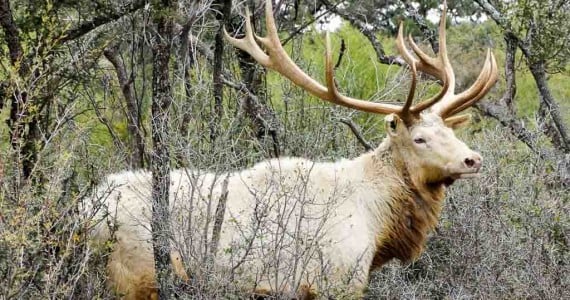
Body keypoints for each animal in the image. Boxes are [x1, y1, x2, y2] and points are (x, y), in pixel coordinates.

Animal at [90, 1, 496, 298]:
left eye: (449, 130)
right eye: (419, 138)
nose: (472, 159)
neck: (377, 222)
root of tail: (84, 210)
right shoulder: (336, 282)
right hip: (133, 278)